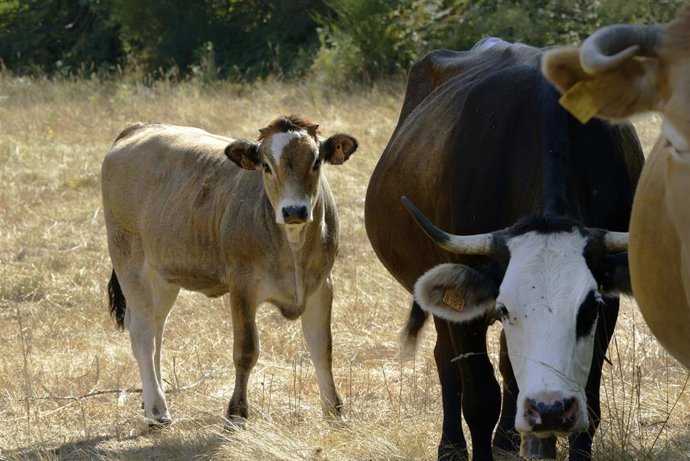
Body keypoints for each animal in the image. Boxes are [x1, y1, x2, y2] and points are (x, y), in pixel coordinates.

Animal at [102, 115, 358, 426]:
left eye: (316, 162)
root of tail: (138, 128)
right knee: (141, 330)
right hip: (129, 259)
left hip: (163, 275)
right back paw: (157, 409)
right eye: (266, 166)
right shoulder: (242, 287)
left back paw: (153, 397)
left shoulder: (322, 285)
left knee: (156, 327)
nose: (294, 210)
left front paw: (335, 411)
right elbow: (246, 350)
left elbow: (322, 348)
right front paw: (237, 412)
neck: (293, 247)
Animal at [364, 39, 644, 461]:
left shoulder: (608, 303)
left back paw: (508, 440)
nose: (549, 409)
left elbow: (589, 405)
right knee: (447, 362)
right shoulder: (468, 302)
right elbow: (480, 399)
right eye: (505, 308)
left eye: (587, 308)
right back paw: (451, 447)